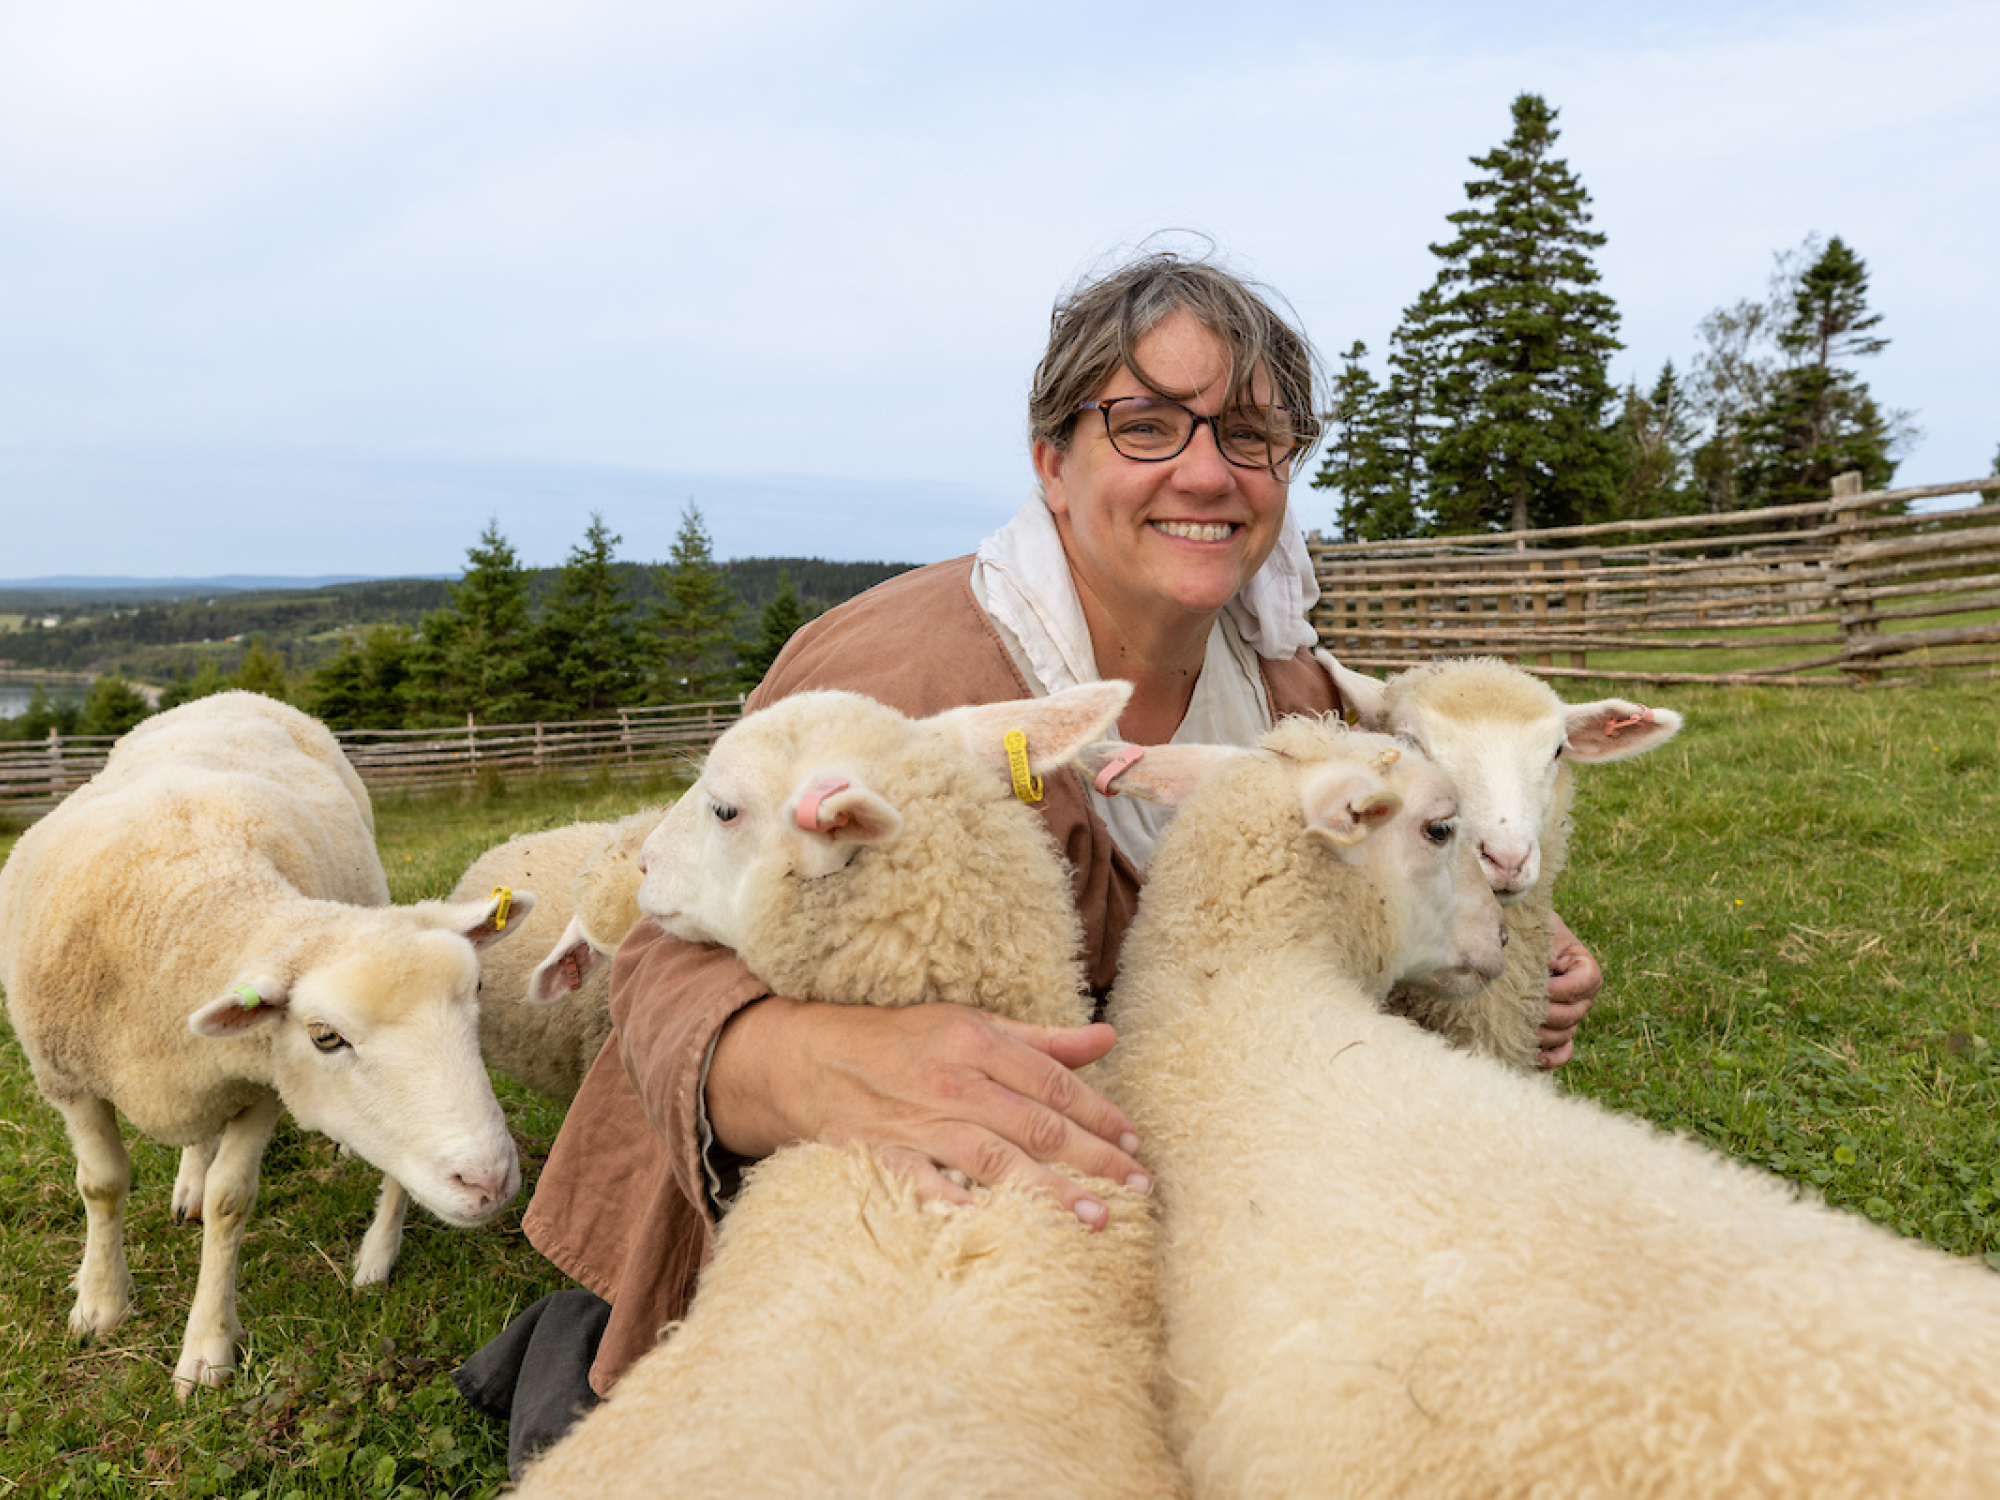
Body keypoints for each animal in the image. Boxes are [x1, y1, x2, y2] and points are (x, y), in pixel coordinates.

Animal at [0, 691, 532, 1396]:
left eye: (477, 989)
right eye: (325, 1037)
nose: (489, 1181)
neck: (189, 908)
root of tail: (235, 695)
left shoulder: (261, 1084)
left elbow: (230, 1202)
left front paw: (205, 1350)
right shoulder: (69, 1079)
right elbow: (102, 1185)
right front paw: (100, 1303)